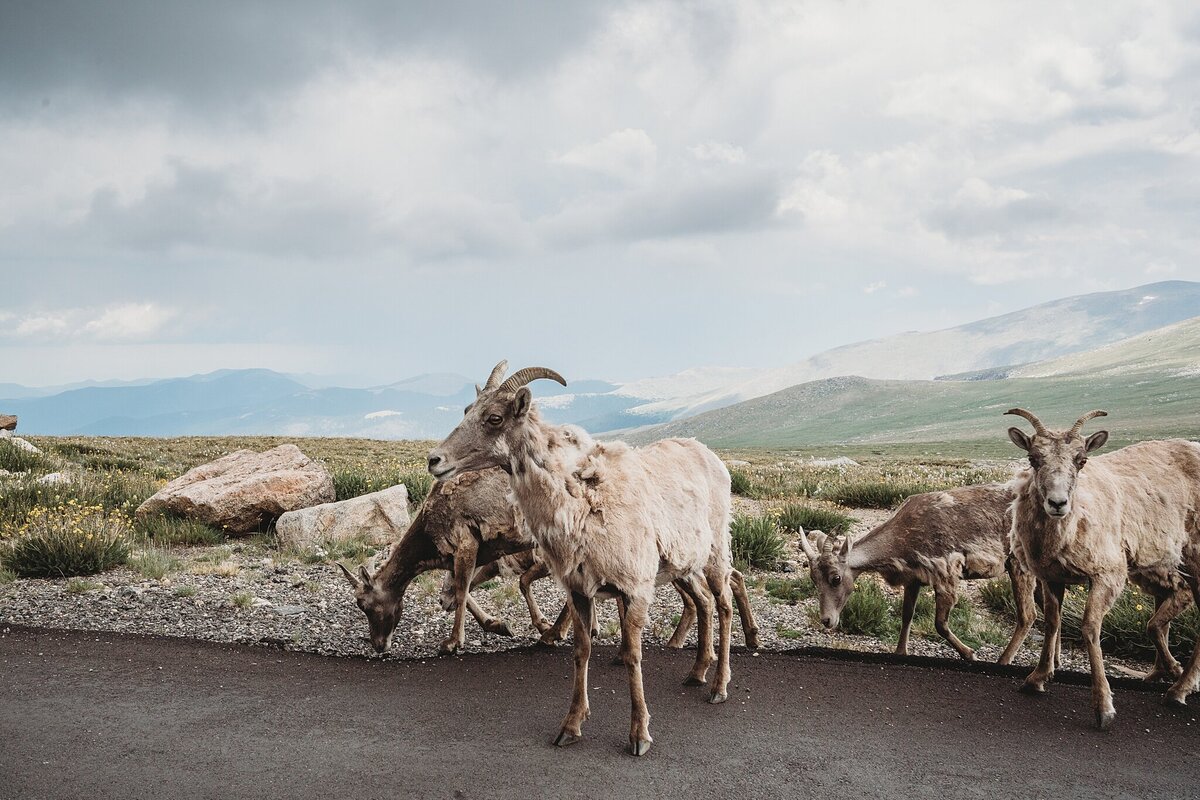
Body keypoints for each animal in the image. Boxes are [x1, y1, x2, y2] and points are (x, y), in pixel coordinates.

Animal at [427, 362, 753, 758]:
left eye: (494, 418)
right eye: (466, 410)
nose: (435, 460)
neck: (580, 503)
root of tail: (712, 457)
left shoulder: (635, 590)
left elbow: (632, 655)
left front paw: (639, 736)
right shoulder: (580, 592)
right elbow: (581, 651)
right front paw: (570, 727)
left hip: (715, 553)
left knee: (723, 605)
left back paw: (719, 687)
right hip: (685, 565)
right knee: (704, 603)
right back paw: (696, 674)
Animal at [796, 484, 1041, 666]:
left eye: (836, 578)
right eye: (813, 579)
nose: (827, 620)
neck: (903, 536)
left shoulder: (945, 575)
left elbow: (940, 624)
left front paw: (970, 653)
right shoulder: (913, 580)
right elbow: (907, 615)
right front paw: (900, 652)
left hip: (1018, 565)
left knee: (1027, 615)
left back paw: (1004, 660)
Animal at [1003, 410, 1200, 729]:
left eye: (1081, 460)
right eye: (1033, 458)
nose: (1057, 503)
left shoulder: (1107, 575)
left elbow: (1090, 629)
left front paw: (1103, 709)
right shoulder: (1051, 577)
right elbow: (1052, 623)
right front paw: (1036, 680)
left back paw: (1178, 690)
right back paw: (1174, 680)